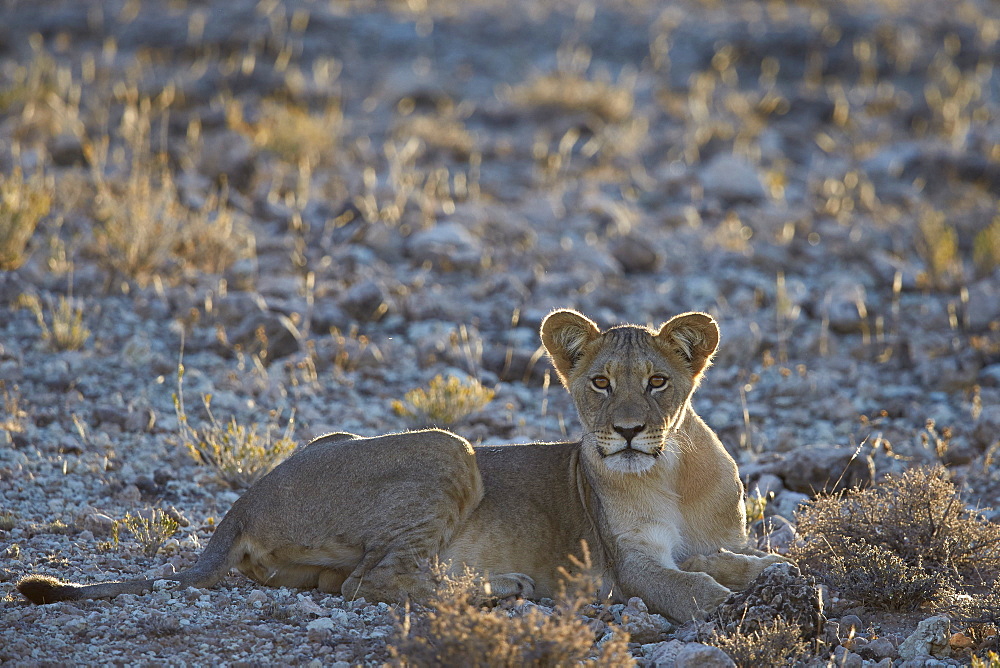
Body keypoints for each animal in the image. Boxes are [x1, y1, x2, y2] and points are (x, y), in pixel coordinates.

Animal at [17, 310, 780, 624]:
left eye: (656, 383)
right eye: (598, 383)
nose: (625, 432)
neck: (673, 471)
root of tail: (243, 502)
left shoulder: (711, 540)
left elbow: (739, 560)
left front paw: (773, 576)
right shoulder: (629, 566)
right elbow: (686, 588)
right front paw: (728, 608)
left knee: (351, 582)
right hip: (449, 448)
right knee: (375, 581)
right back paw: (503, 589)